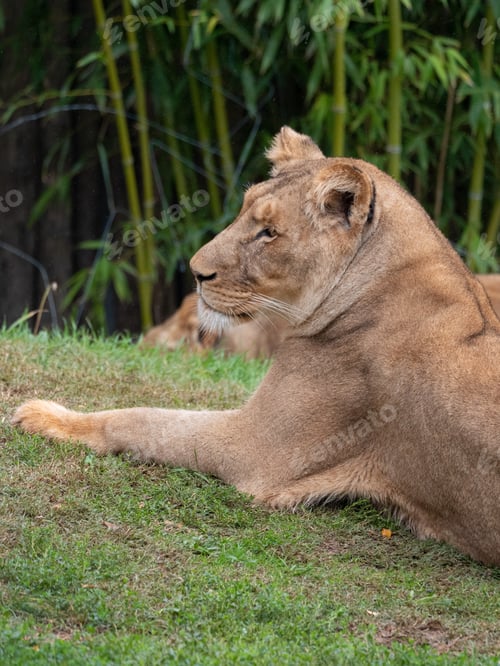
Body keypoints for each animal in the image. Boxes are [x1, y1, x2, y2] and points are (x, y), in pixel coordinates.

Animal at [12, 127, 500, 566]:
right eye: (244, 211)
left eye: (269, 232)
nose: (196, 272)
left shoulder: (256, 448)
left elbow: (143, 421)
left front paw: (43, 416)